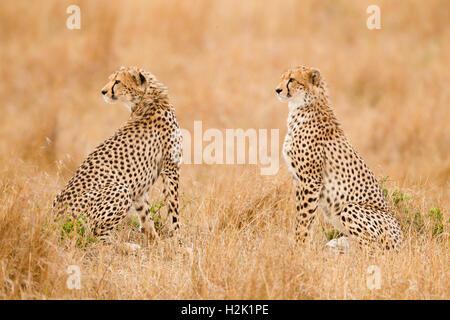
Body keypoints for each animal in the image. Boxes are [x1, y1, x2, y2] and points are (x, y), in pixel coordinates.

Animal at [54, 67, 183, 242]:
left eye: (117, 81)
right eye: (112, 80)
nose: (103, 91)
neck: (147, 98)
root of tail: (56, 220)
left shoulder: (140, 188)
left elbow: (147, 216)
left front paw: (157, 241)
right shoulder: (171, 168)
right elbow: (174, 208)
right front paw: (179, 241)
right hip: (120, 189)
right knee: (94, 237)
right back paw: (126, 246)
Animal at [276, 65, 402, 251]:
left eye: (292, 79)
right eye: (282, 77)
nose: (277, 90)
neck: (304, 106)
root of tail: (402, 240)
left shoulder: (311, 181)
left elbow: (305, 217)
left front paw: (299, 247)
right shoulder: (299, 181)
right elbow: (303, 216)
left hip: (350, 208)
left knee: (372, 249)